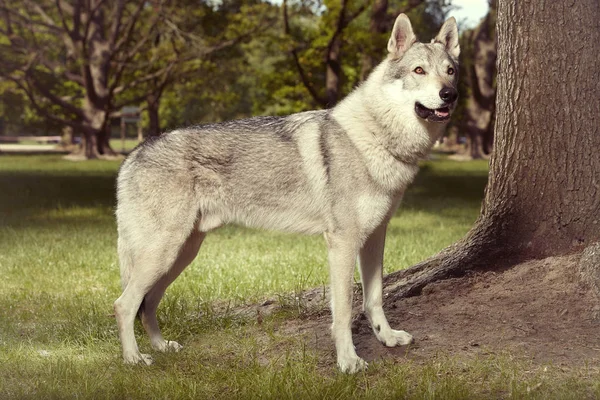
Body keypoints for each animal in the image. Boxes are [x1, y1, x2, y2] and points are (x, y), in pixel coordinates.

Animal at [113, 14, 460, 374]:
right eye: (419, 70)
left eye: (450, 71)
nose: (449, 94)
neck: (376, 137)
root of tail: (133, 155)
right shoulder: (343, 243)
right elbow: (344, 311)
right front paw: (348, 362)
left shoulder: (375, 237)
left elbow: (374, 299)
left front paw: (387, 338)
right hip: (164, 253)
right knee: (124, 304)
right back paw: (134, 359)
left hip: (180, 254)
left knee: (147, 304)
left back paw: (161, 347)